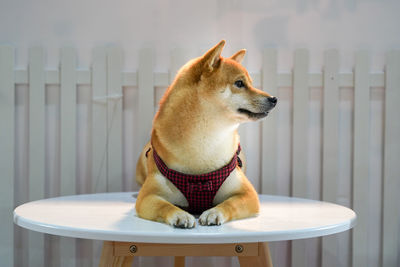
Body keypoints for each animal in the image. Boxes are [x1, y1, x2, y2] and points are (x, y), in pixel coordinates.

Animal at [134, 40, 276, 229]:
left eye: (251, 83)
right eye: (239, 83)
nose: (274, 99)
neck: (206, 141)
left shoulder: (247, 194)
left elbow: (229, 204)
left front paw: (214, 212)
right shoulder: (147, 196)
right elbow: (165, 205)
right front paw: (180, 215)